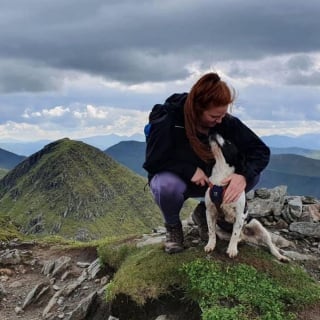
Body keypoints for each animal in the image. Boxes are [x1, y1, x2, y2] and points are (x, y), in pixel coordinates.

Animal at [205, 134, 290, 262]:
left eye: (229, 142)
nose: (213, 132)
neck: (221, 175)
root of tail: (245, 235)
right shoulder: (210, 211)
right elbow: (211, 231)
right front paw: (210, 245)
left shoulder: (240, 214)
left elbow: (235, 234)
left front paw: (232, 250)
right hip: (222, 230)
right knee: (232, 236)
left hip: (258, 226)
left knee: (270, 245)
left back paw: (280, 256)